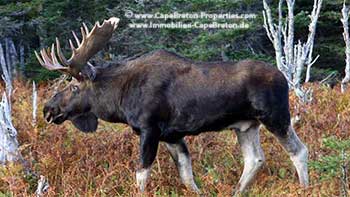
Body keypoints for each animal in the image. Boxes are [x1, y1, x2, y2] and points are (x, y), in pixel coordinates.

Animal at [35, 16, 308, 194]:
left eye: (74, 86)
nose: (48, 110)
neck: (119, 99)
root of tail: (285, 78)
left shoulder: (150, 128)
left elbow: (141, 174)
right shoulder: (172, 135)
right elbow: (187, 175)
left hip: (275, 116)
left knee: (299, 150)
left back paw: (305, 187)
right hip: (246, 125)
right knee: (255, 159)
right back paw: (236, 191)